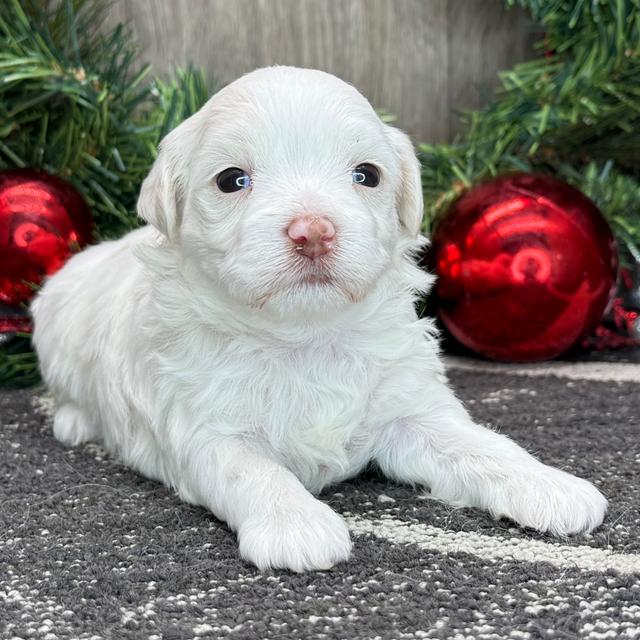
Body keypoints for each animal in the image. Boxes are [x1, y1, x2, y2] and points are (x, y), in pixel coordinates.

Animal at [32, 67, 608, 572]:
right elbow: (253, 471)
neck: (304, 334)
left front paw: (550, 485)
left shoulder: (410, 411)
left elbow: (480, 445)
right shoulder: (206, 430)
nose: (313, 231)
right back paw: (74, 421)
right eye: (231, 180)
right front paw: (297, 526)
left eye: (366, 175)